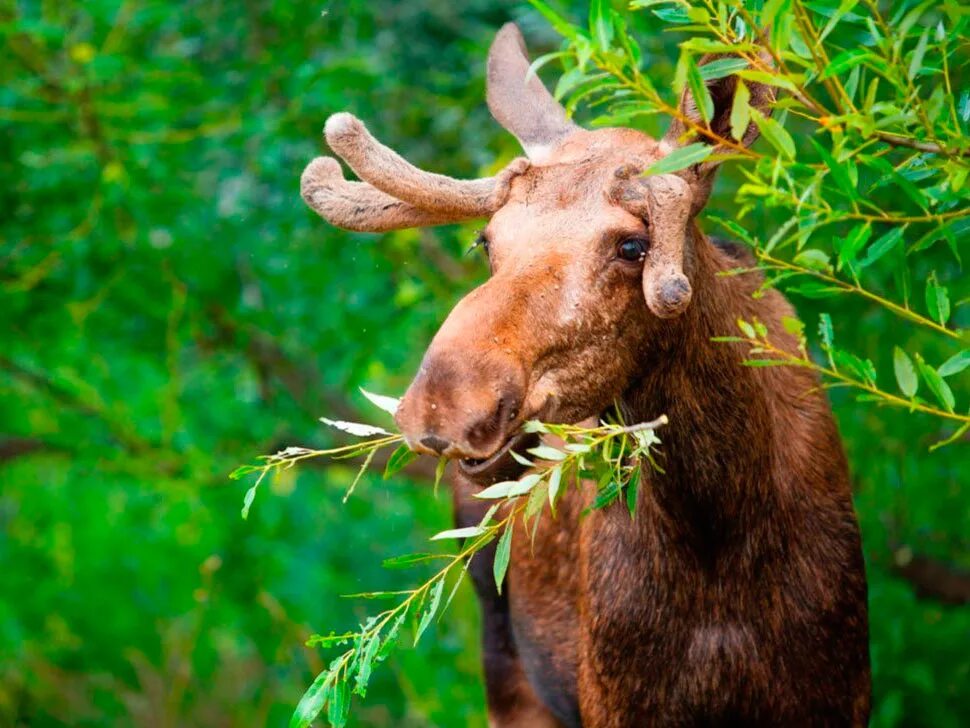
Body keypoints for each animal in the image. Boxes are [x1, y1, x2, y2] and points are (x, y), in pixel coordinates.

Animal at [298, 22, 864, 728]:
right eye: (487, 241)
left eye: (633, 246)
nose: (444, 404)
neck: (719, 534)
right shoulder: (614, 703)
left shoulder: (836, 696)